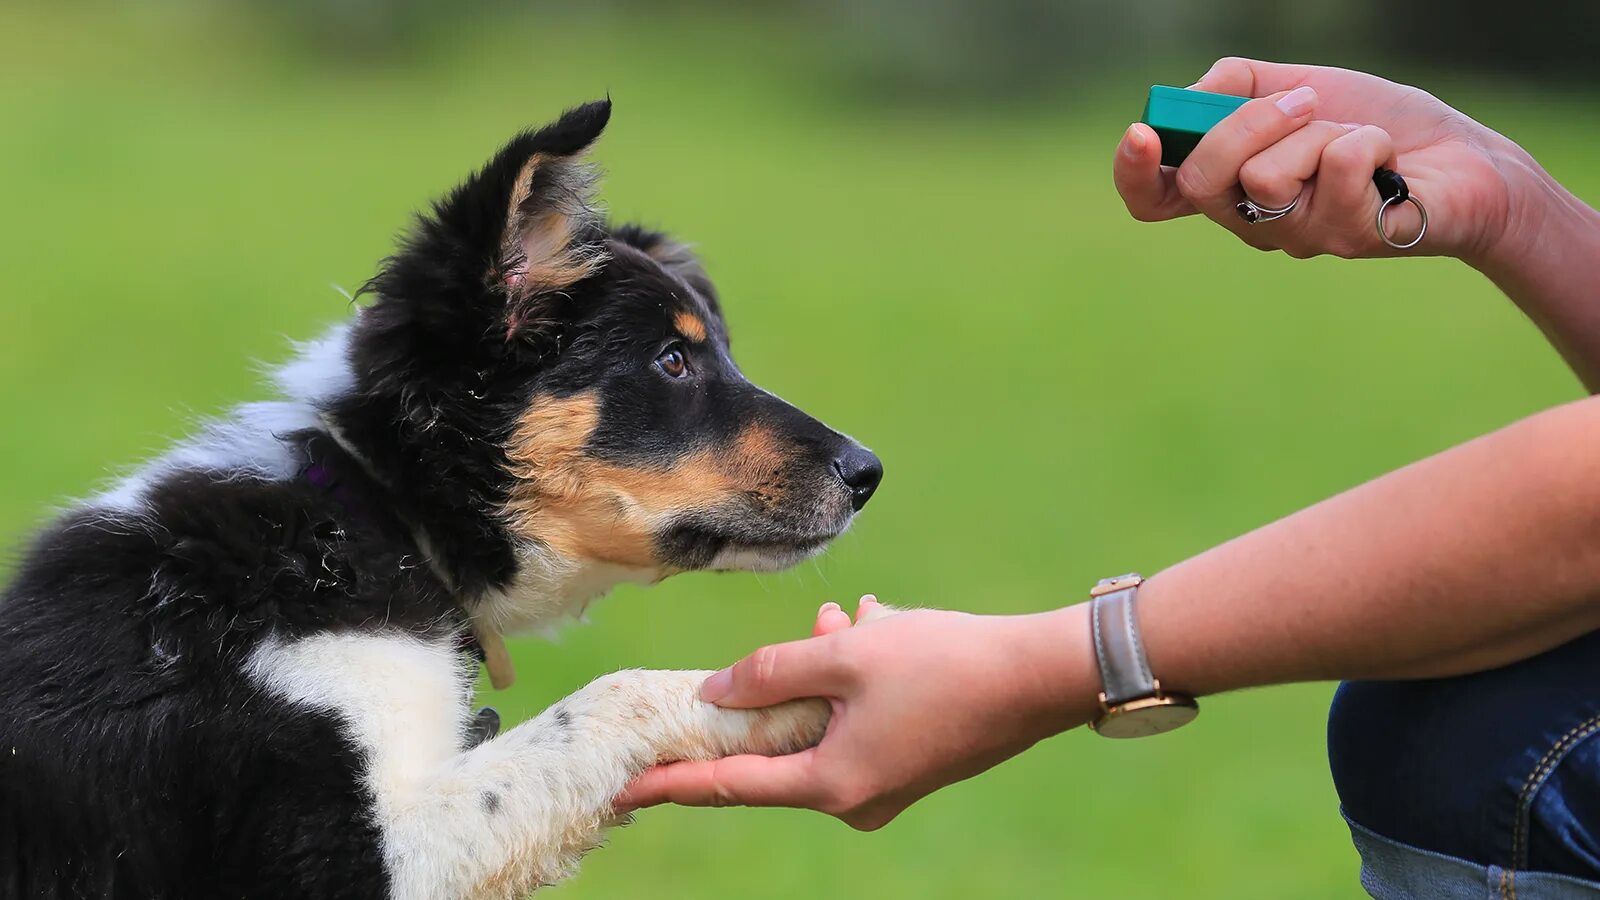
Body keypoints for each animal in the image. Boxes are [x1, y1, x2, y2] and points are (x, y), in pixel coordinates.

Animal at [0, 101, 883, 890]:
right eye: (672, 360)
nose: (869, 473)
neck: (369, 518)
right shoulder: (349, 854)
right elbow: (612, 695)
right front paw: (790, 692)